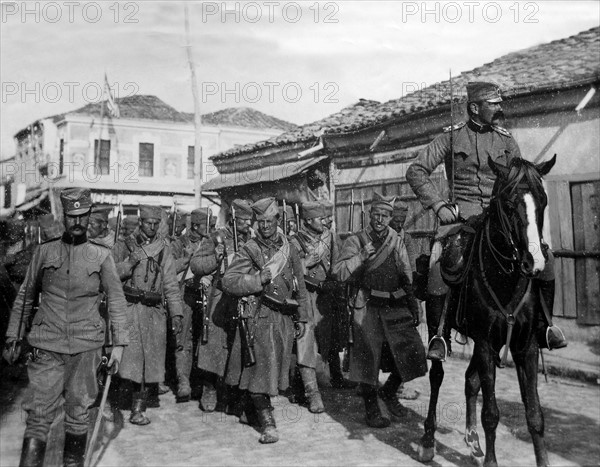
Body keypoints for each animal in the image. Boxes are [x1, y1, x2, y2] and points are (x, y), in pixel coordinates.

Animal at [418, 154, 556, 467]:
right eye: (509, 204)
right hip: (438, 326)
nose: (535, 262)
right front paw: (492, 461)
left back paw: (473, 441)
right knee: (437, 377)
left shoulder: (525, 346)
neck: (506, 278)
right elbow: (491, 413)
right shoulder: (483, 343)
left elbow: (535, 414)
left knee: (470, 381)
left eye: (542, 201)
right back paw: (428, 441)